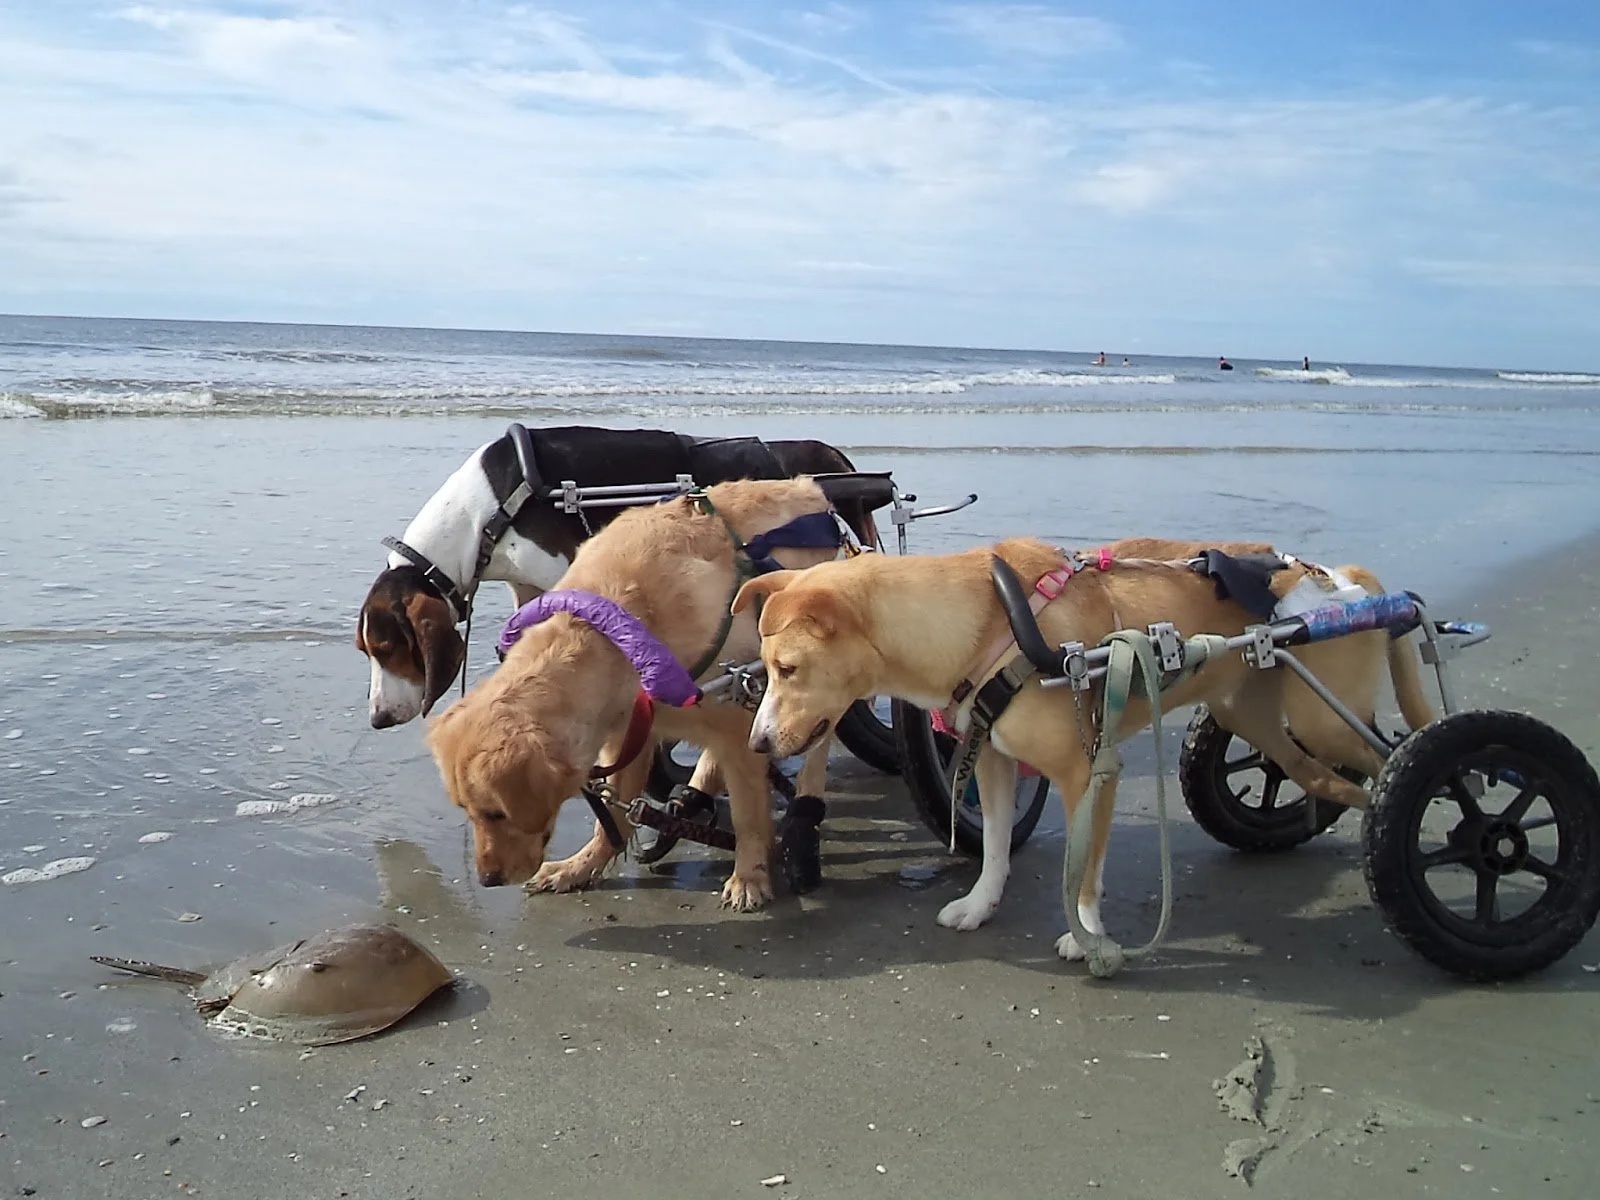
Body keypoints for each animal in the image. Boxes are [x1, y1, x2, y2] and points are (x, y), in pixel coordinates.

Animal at [425, 480, 851, 908]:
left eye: (496, 813)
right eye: (467, 810)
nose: (487, 880)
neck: (618, 633)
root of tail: (814, 490)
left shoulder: (739, 722)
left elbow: (749, 816)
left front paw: (749, 877)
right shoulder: (630, 732)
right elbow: (612, 817)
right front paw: (580, 867)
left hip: (805, 697)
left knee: (813, 752)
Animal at [739, 540, 1440, 966]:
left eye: (788, 668)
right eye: (767, 670)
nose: (758, 744)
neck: (986, 620)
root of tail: (1345, 580)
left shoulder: (1090, 773)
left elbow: (1085, 871)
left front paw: (1089, 937)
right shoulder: (994, 762)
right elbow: (995, 848)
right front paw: (981, 906)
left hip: (1324, 719)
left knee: (1394, 752)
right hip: (1258, 718)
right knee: (1320, 775)